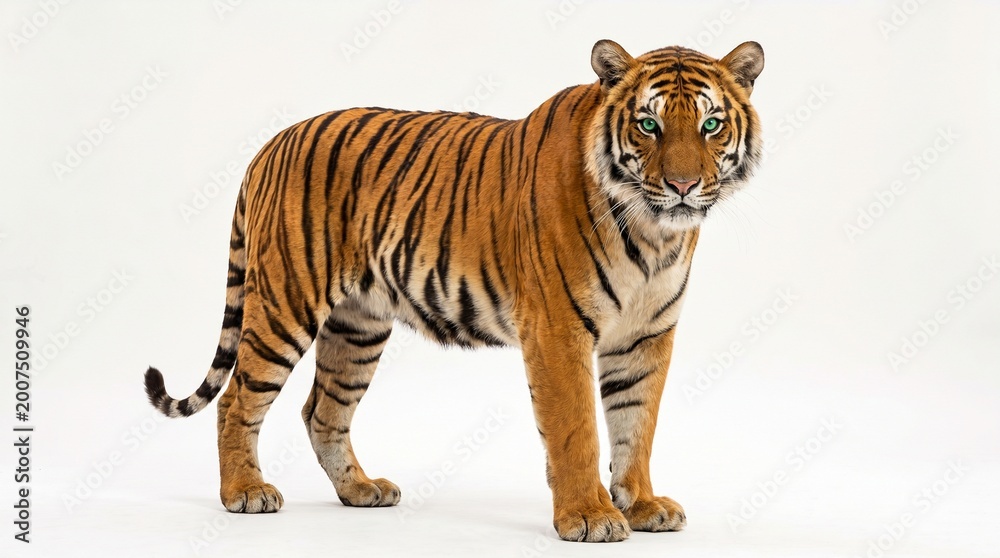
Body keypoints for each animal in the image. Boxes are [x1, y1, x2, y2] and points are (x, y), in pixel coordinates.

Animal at [144, 39, 764, 542]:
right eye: (648, 125)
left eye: (711, 125)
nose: (682, 185)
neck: (655, 233)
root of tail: (270, 144)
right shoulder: (558, 330)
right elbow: (578, 429)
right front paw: (588, 517)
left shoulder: (645, 336)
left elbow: (637, 425)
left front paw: (641, 506)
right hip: (285, 302)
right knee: (236, 400)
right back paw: (244, 492)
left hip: (358, 325)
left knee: (322, 410)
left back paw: (361, 490)